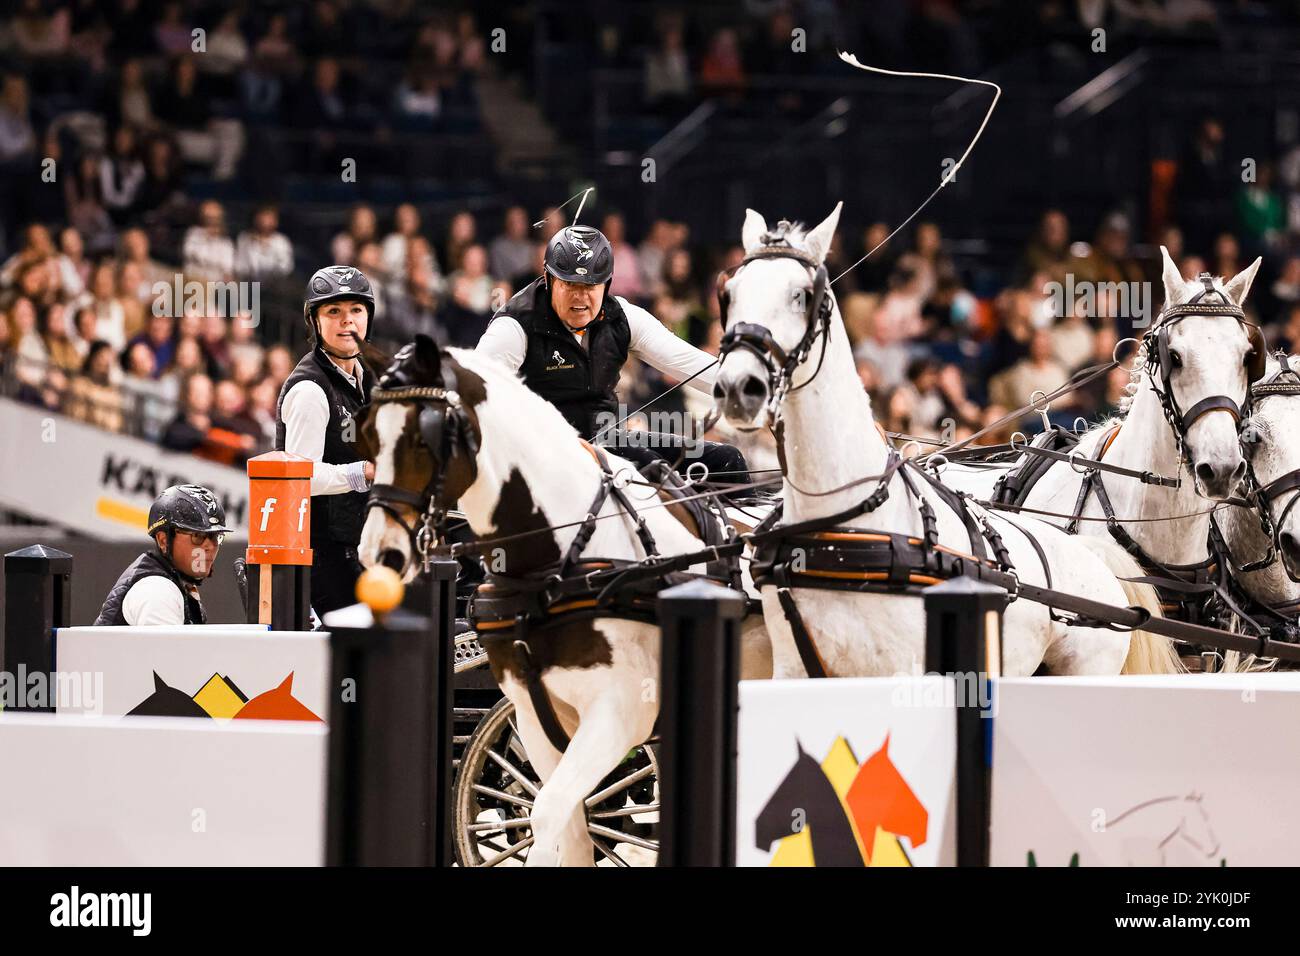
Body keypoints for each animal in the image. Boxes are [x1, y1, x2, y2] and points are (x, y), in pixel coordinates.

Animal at [353, 335, 769, 868]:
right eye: (367, 435)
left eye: (426, 438)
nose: (379, 552)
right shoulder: (532, 714)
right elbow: (565, 824)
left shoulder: (620, 713)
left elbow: (551, 813)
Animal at [712, 205, 1180, 676]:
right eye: (729, 294)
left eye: (801, 296)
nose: (737, 386)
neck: (841, 519)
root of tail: (1093, 554)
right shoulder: (792, 669)